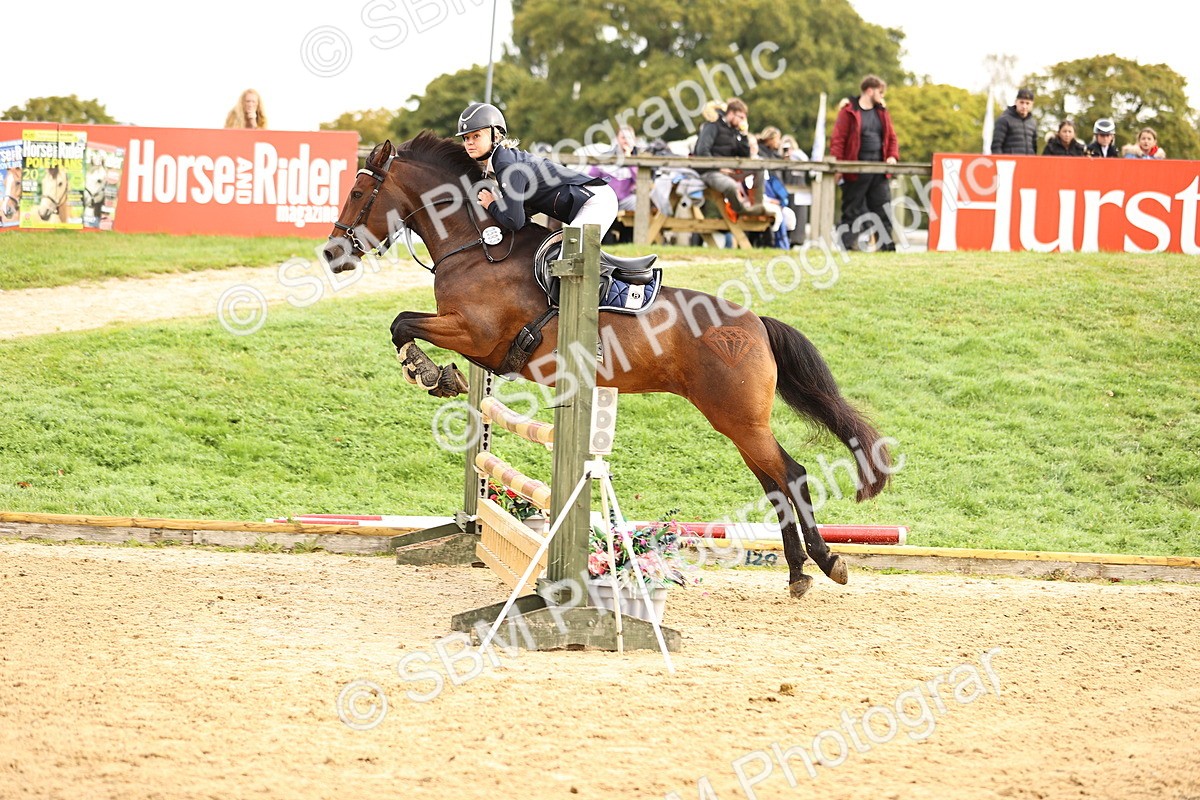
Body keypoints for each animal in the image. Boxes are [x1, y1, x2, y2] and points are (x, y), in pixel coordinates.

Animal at [321, 132, 892, 598]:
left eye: (358, 194)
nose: (330, 254)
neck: (476, 246)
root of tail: (756, 323)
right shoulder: (472, 338)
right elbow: (404, 325)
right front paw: (438, 375)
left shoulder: (474, 334)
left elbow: (402, 323)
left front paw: (429, 374)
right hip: (737, 422)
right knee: (774, 483)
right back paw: (797, 573)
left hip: (740, 419)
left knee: (791, 475)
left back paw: (827, 562)